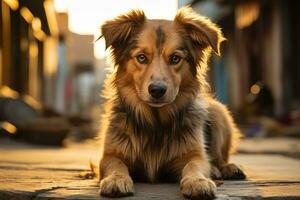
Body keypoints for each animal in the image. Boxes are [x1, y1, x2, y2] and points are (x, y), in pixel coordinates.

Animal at [98, 6, 246, 200]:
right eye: (142, 57)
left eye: (175, 58)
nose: (157, 90)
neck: (156, 123)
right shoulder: (110, 155)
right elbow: (116, 164)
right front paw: (116, 179)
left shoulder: (193, 154)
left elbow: (195, 164)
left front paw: (197, 181)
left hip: (220, 113)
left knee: (220, 158)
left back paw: (226, 168)